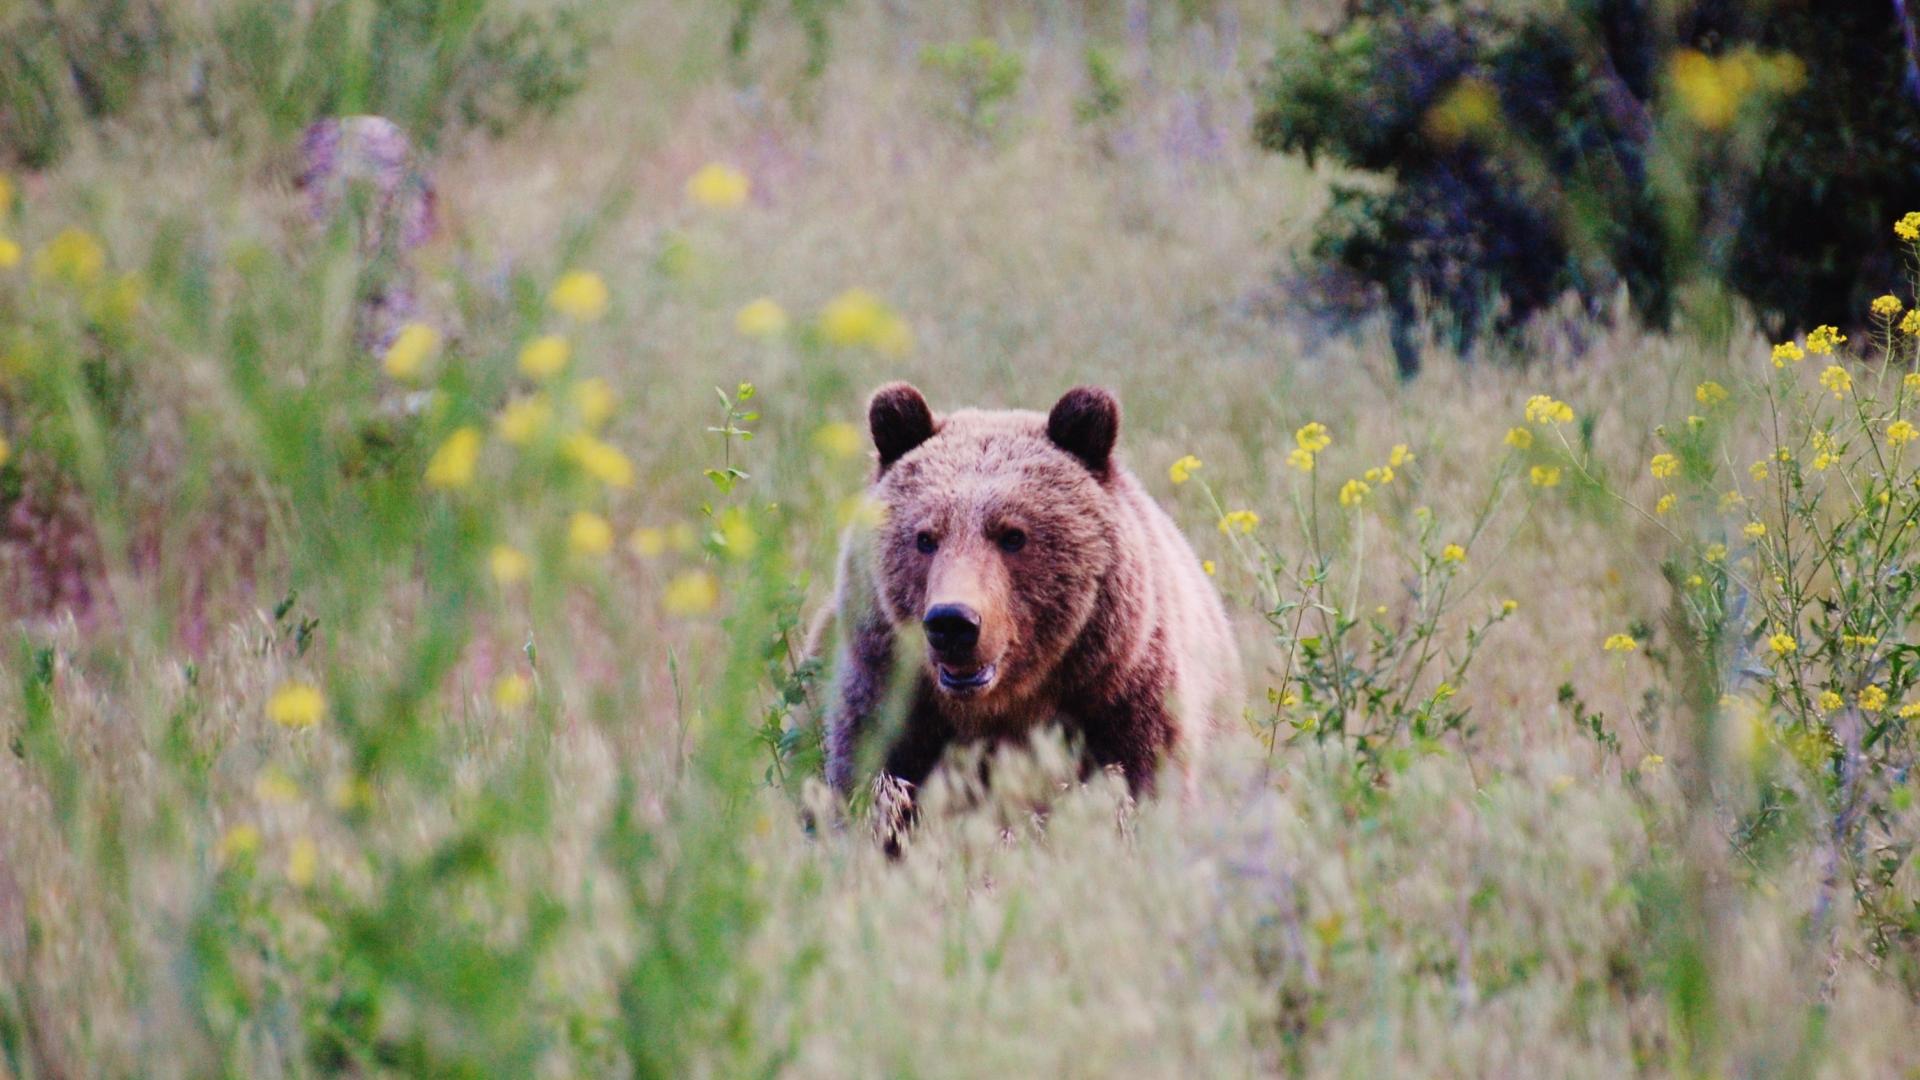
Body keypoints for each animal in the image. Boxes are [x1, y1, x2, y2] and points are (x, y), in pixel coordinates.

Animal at [814, 382, 1241, 807]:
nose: (952, 623)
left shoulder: (1123, 703)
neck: (1006, 709)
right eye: (925, 538)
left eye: (1013, 535)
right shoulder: (891, 711)